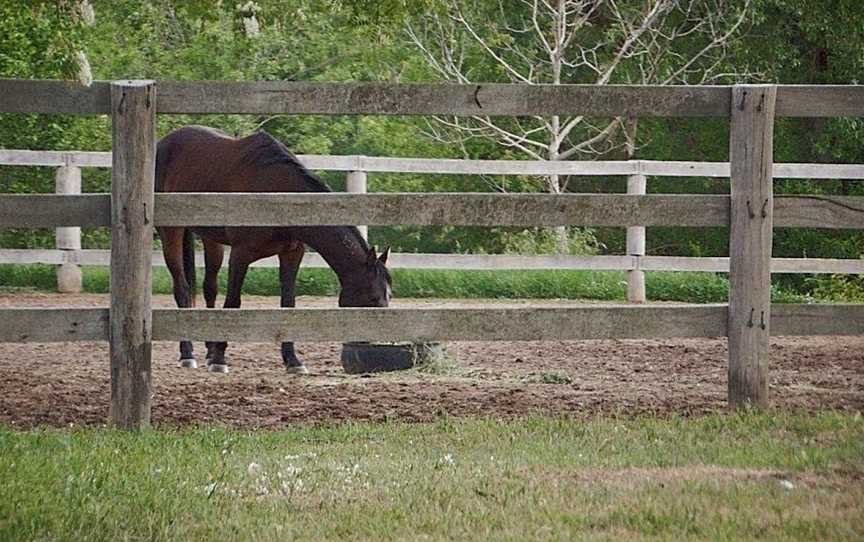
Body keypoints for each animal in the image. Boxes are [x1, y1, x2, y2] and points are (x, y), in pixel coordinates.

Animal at [156, 126, 392, 376]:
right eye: (373, 298)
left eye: (389, 296)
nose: (377, 342)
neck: (277, 192)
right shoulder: (240, 254)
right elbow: (233, 302)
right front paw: (220, 359)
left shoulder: (291, 254)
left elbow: (288, 303)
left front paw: (293, 360)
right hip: (171, 232)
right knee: (182, 289)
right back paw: (188, 354)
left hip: (211, 238)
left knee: (210, 288)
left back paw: (209, 350)